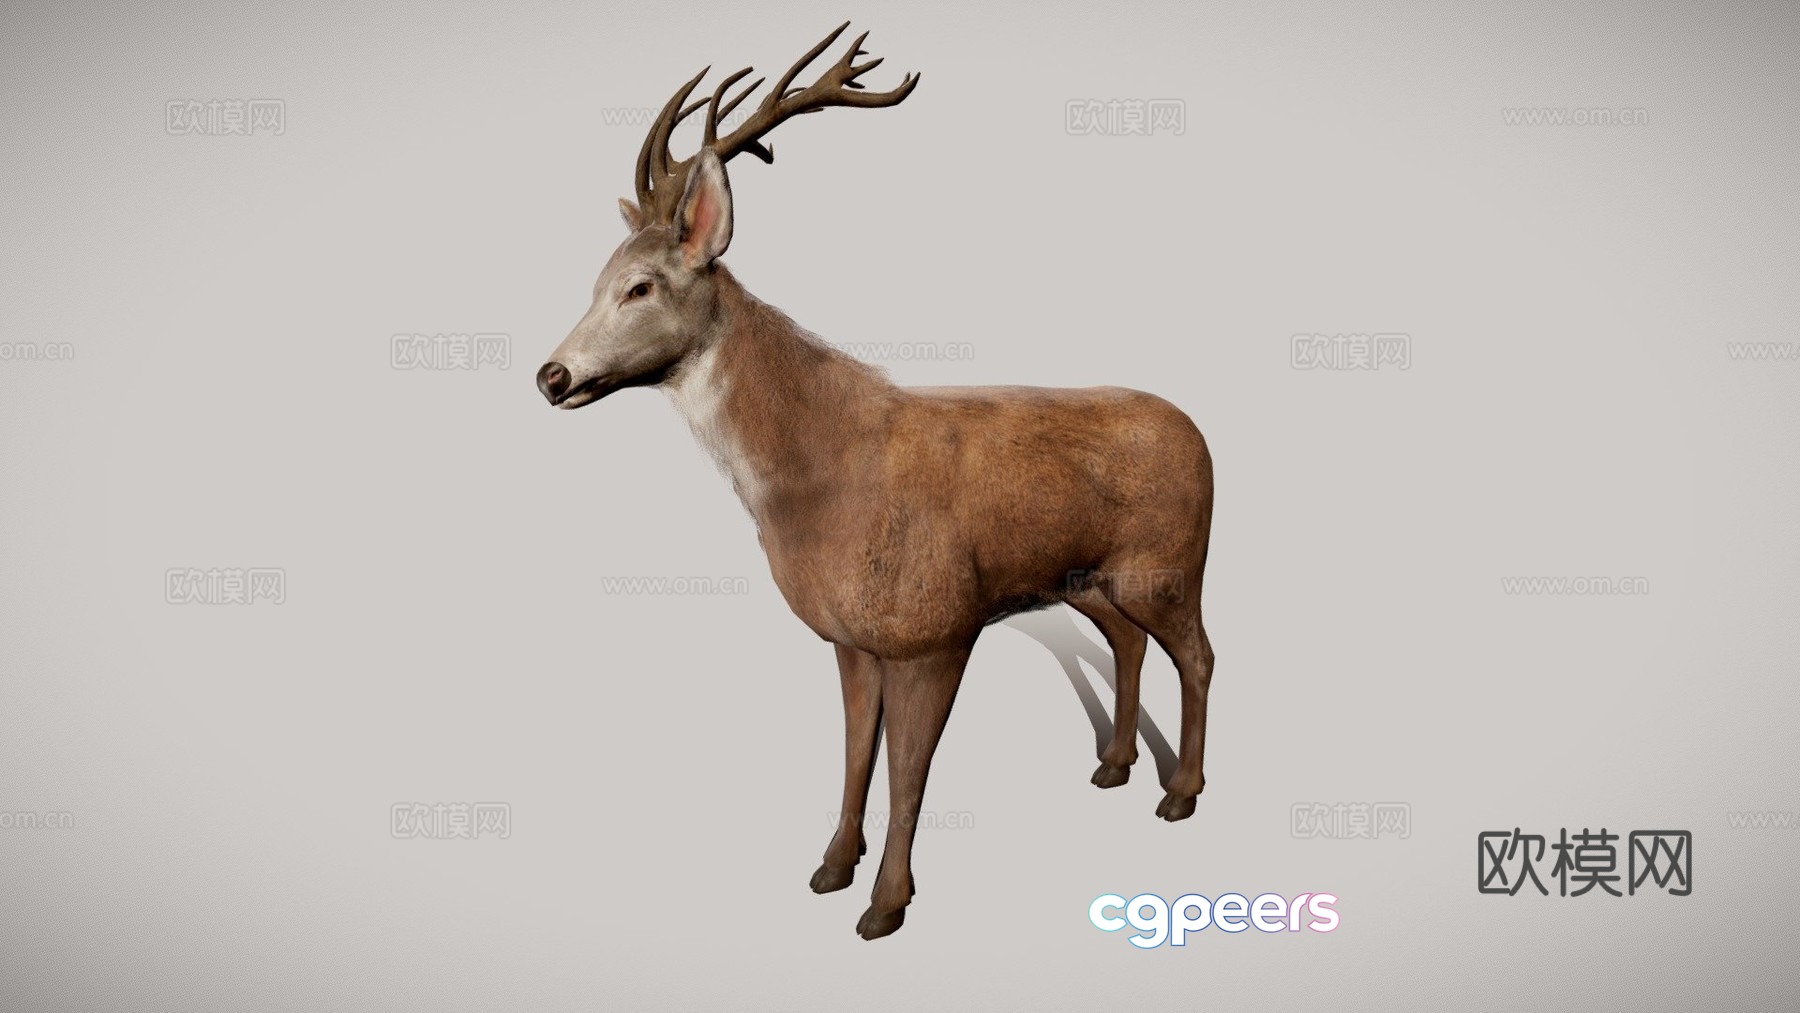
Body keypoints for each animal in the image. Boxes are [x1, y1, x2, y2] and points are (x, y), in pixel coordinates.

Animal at [534, 23, 1215, 940]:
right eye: (596, 281)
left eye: (640, 286)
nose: (552, 376)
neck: (816, 481)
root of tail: (1202, 433)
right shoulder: (850, 634)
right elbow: (857, 753)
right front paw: (831, 866)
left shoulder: (934, 626)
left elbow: (908, 774)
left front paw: (886, 903)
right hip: (1086, 576)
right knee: (1130, 640)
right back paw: (1113, 766)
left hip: (1168, 562)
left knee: (1201, 653)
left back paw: (1181, 792)